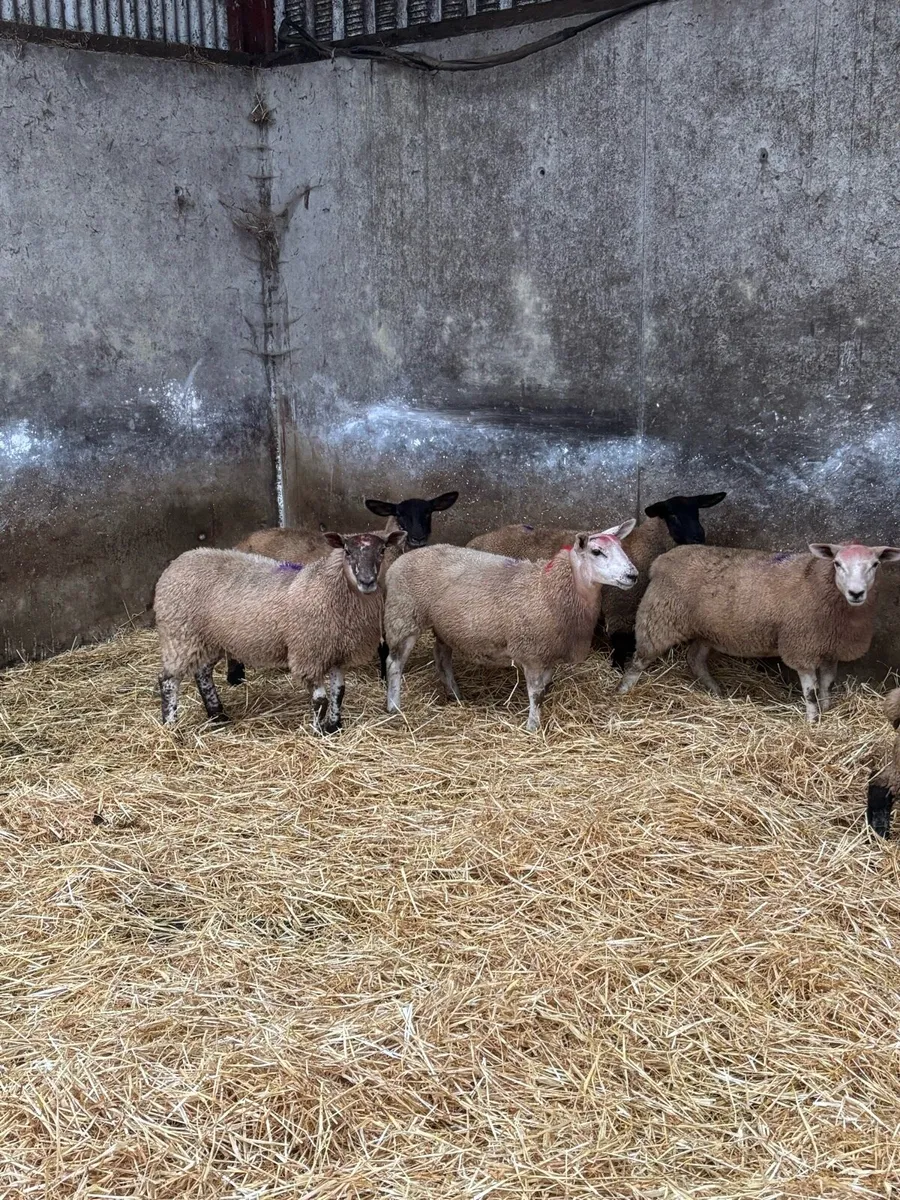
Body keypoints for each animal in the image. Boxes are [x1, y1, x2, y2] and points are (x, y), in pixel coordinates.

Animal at [154, 530, 404, 732]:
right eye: (347, 551)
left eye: (382, 550)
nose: (367, 581)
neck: (328, 587)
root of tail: (179, 560)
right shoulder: (308, 654)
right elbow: (320, 700)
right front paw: (317, 732)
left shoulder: (336, 651)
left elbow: (338, 693)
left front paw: (334, 727)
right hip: (180, 635)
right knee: (168, 680)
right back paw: (171, 725)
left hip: (210, 639)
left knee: (202, 673)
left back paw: (218, 715)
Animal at [229, 490, 459, 684]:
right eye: (400, 514)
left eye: (428, 512)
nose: (418, 537)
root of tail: (242, 542)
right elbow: (384, 645)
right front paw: (384, 678)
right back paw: (235, 677)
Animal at [383, 521, 638, 731]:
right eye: (597, 552)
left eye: (622, 548)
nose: (632, 575)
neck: (548, 588)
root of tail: (402, 559)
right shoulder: (532, 651)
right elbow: (535, 692)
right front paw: (533, 726)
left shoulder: (548, 652)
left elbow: (544, 688)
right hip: (404, 615)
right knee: (394, 663)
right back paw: (394, 706)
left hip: (445, 624)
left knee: (441, 657)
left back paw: (454, 694)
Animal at [466, 492, 727, 669]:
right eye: (672, 514)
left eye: (697, 512)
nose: (699, 537)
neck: (644, 546)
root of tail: (474, 541)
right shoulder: (619, 609)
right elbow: (621, 647)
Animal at [617, 541, 900, 722]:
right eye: (838, 563)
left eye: (875, 564)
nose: (856, 593)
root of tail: (662, 560)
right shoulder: (801, 647)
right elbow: (810, 691)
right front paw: (813, 721)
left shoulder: (830, 649)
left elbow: (826, 684)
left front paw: (828, 710)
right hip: (659, 617)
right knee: (640, 659)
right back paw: (623, 690)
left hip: (707, 629)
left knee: (694, 659)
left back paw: (716, 691)